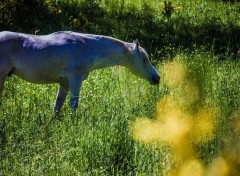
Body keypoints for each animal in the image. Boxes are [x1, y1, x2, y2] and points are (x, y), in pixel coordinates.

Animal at [0, 31, 161, 113]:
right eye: (144, 59)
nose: (157, 78)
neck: (88, 47)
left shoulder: (64, 84)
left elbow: (57, 108)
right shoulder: (75, 80)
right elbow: (73, 106)